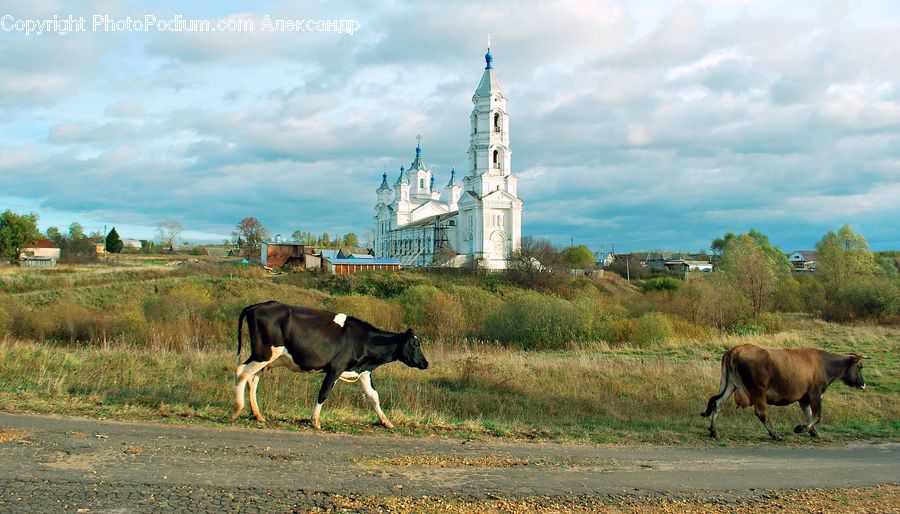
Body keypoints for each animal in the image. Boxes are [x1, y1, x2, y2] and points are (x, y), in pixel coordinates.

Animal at [232, 300, 428, 428]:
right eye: (415, 344)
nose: (425, 363)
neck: (363, 340)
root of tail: (258, 305)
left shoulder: (363, 372)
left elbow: (374, 396)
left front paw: (386, 421)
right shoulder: (336, 368)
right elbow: (323, 393)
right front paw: (316, 421)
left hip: (267, 358)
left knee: (252, 379)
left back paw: (258, 415)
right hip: (264, 353)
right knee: (242, 371)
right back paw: (237, 410)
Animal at [696, 342, 864, 438]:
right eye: (860, 367)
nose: (863, 384)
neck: (824, 364)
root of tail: (734, 350)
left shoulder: (804, 398)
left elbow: (809, 415)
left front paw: (813, 432)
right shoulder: (815, 394)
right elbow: (816, 416)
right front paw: (801, 428)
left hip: (731, 384)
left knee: (718, 404)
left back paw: (714, 431)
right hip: (757, 389)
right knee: (761, 413)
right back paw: (775, 434)